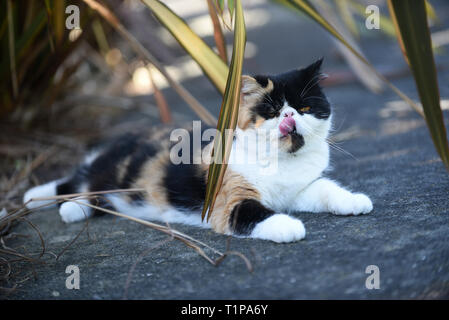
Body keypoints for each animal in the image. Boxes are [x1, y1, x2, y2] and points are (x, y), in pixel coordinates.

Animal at [22, 58, 372, 242]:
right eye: (271, 111)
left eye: (305, 107)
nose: (289, 116)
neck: (281, 163)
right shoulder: (228, 198)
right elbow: (252, 213)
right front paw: (288, 226)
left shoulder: (301, 188)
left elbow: (326, 189)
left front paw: (354, 201)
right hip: (109, 173)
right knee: (76, 183)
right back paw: (39, 199)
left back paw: (70, 208)